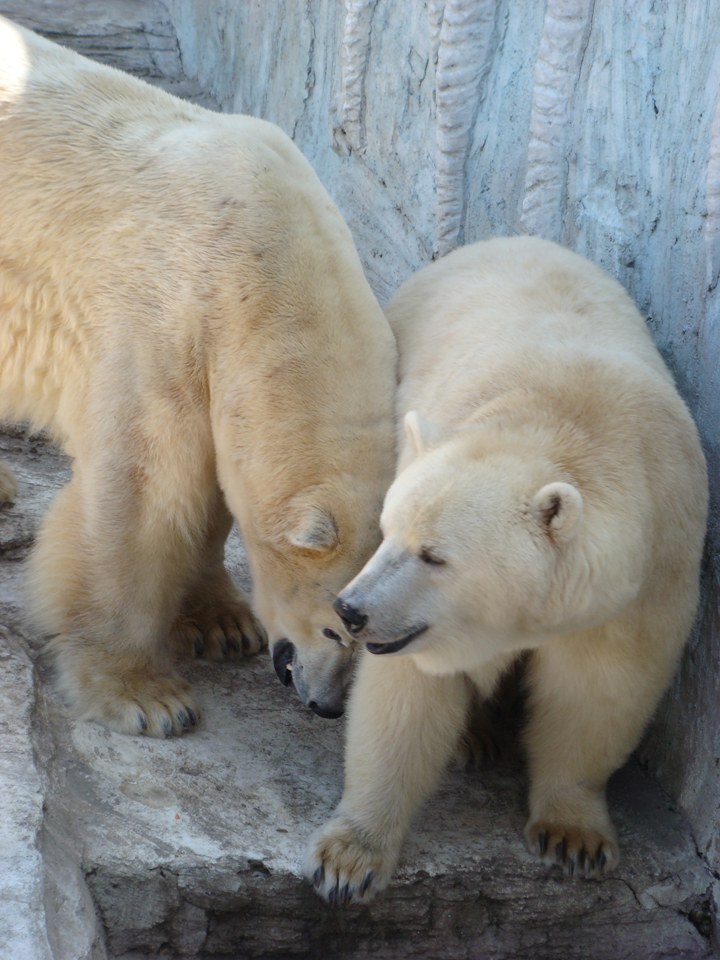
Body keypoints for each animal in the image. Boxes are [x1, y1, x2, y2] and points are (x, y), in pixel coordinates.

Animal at [0, 16, 400, 736]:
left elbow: (214, 489)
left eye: (374, 645)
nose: (326, 705)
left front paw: (222, 624)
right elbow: (145, 491)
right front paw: (147, 697)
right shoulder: (166, 315)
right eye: (334, 629)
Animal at [306, 238, 708, 900]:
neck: (565, 423)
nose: (350, 610)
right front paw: (348, 858)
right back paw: (476, 738)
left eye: (434, 555)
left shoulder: (643, 580)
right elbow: (406, 700)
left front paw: (573, 840)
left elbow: (598, 691)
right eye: (388, 531)